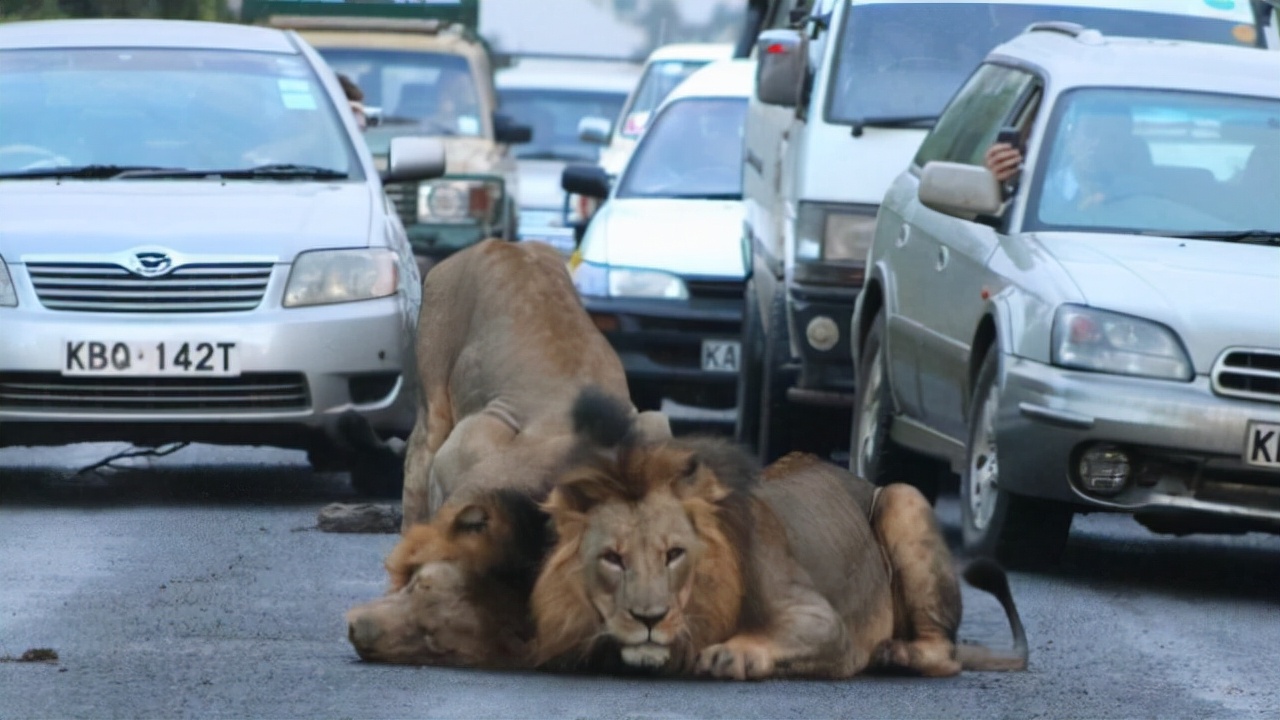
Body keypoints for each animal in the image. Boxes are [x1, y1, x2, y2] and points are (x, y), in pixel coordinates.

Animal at [529, 389, 1029, 676]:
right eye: (613, 559)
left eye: (674, 554)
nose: (648, 619)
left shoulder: (824, 620)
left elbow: (783, 633)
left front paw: (732, 654)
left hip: (902, 497)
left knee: (945, 654)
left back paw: (895, 654)